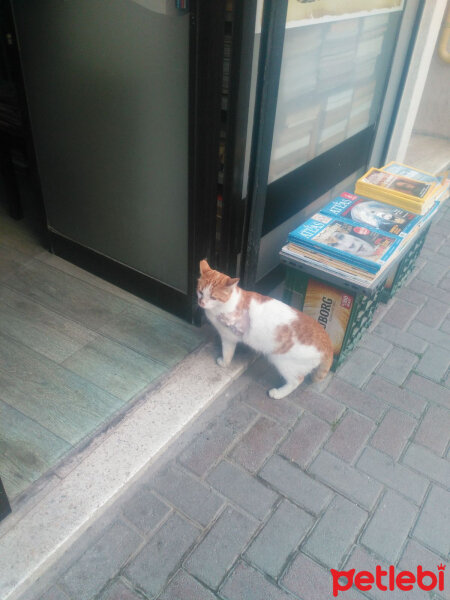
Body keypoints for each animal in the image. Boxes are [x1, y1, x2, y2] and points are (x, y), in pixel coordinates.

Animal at [198, 262, 334, 398]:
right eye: (200, 292)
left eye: (213, 297)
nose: (202, 303)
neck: (228, 303)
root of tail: (328, 343)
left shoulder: (228, 337)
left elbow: (227, 353)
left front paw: (224, 363)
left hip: (284, 362)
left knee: (296, 381)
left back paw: (278, 393)